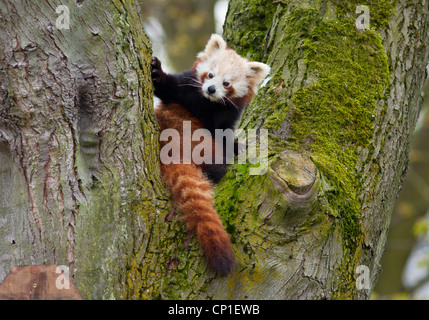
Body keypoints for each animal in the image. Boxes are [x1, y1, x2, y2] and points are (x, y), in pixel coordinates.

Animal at [152, 34, 270, 276]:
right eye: (210, 75)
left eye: (227, 83)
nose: (212, 89)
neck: (209, 104)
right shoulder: (186, 91)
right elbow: (168, 89)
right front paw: (157, 73)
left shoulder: (227, 115)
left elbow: (223, 134)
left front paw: (236, 146)